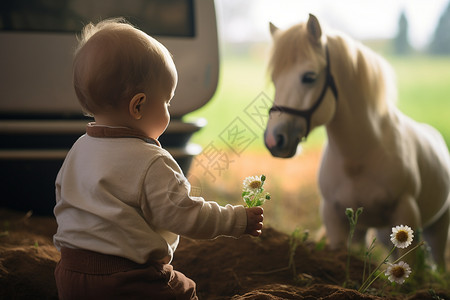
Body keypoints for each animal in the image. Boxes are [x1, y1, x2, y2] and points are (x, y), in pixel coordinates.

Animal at [264, 14, 450, 270]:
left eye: (309, 77)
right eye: (275, 80)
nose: (273, 140)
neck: (358, 155)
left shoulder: (406, 212)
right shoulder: (335, 219)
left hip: (437, 228)